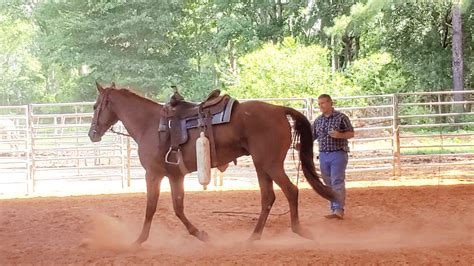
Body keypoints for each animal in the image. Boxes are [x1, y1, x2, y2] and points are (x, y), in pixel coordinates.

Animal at [89, 82, 338, 245]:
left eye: (95, 106)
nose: (92, 134)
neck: (150, 125)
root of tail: (278, 109)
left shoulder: (153, 174)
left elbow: (151, 208)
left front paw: (138, 240)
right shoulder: (175, 176)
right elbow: (178, 208)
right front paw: (201, 234)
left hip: (271, 165)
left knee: (291, 191)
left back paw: (298, 230)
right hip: (262, 166)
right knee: (268, 198)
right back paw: (254, 236)